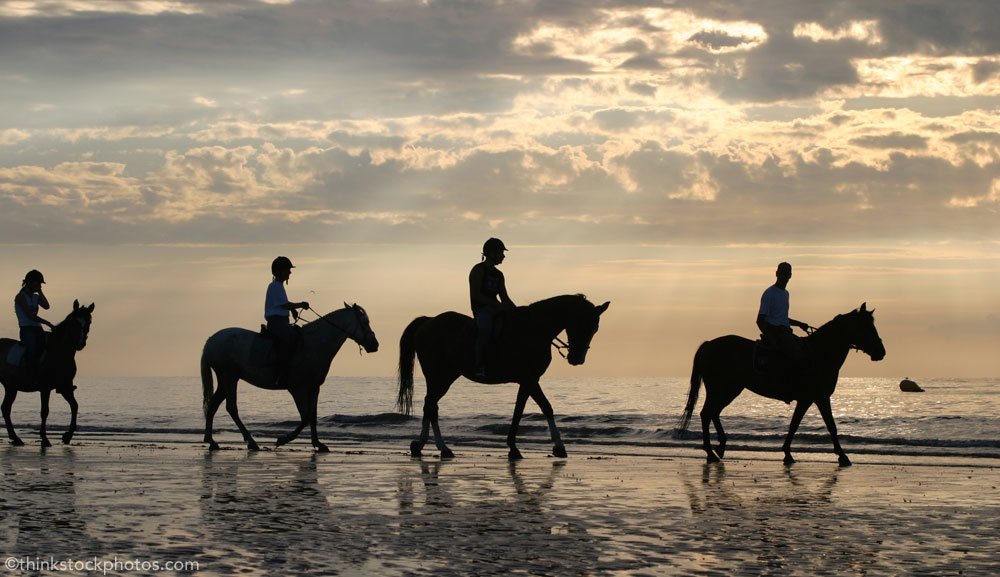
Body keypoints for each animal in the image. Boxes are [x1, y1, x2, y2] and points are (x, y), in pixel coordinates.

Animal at [0, 300, 95, 448]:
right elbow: (45, 411)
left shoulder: (65, 387)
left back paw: (16, 438)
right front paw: (45, 439)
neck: (60, 352)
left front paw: (67, 436)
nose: (81, 344)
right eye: (74, 323)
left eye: (89, 321)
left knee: (5, 408)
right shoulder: (45, 388)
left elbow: (74, 406)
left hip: (11, 387)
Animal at [202, 304, 378, 452]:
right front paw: (283, 439)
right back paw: (250, 442)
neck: (314, 344)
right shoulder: (297, 388)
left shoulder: (314, 387)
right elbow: (305, 417)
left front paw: (318, 443)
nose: (375, 344)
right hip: (229, 377)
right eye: (365, 321)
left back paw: (212, 441)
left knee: (214, 405)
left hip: (227, 379)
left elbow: (313, 416)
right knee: (231, 407)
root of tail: (211, 340)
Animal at [398, 292, 608, 460]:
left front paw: (513, 448)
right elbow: (546, 407)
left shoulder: (528, 381)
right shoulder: (529, 379)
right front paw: (559, 446)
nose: (577, 358)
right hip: (439, 377)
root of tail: (428, 321)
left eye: (595, 328)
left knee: (430, 405)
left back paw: (424, 445)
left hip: (444, 377)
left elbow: (518, 411)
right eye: (582, 324)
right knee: (431, 406)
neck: (533, 330)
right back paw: (440, 447)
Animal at [680, 304, 884, 466]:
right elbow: (830, 426)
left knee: (713, 413)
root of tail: (709, 344)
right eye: (866, 328)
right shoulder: (820, 397)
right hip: (722, 389)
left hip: (729, 389)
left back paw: (720, 446)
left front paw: (787, 453)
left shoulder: (807, 399)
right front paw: (842, 456)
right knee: (707, 413)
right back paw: (710, 452)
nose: (881, 352)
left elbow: (794, 424)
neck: (820, 354)